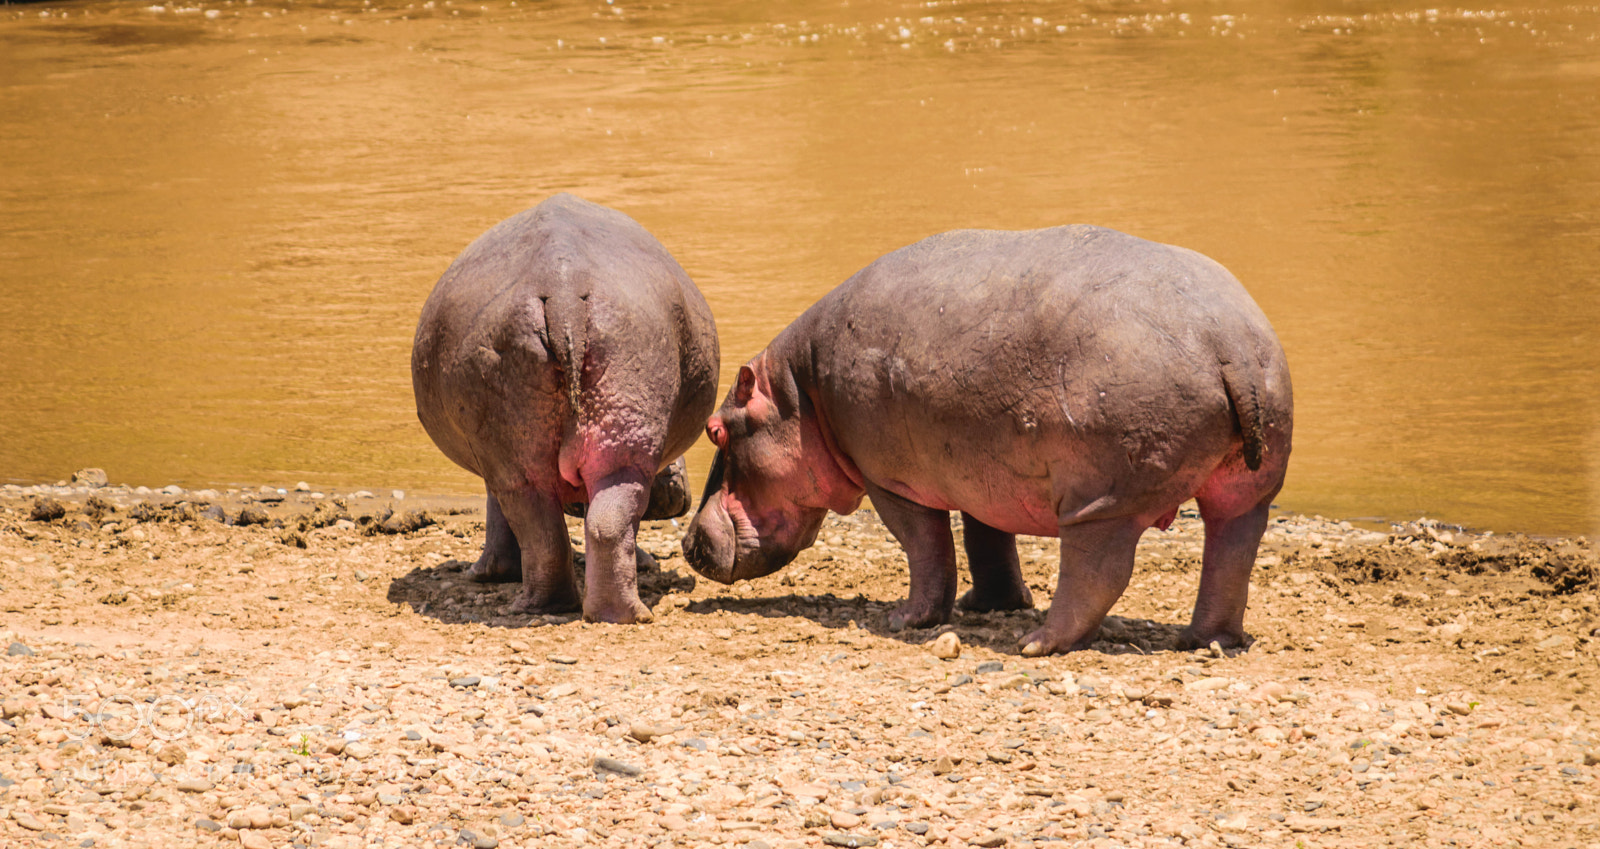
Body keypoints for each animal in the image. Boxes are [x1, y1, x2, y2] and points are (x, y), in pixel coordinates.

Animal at [412, 194, 719, 623]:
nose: (677, 487)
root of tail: (563, 291)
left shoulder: (494, 466)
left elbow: (496, 514)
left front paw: (485, 574)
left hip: (527, 457)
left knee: (545, 528)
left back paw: (549, 605)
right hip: (614, 446)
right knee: (600, 524)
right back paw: (611, 613)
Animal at [682, 226, 1291, 655]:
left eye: (716, 429)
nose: (687, 543)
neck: (800, 392)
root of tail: (1229, 344)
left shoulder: (889, 480)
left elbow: (927, 548)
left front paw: (906, 619)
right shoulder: (984, 471)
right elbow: (987, 539)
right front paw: (989, 604)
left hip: (1101, 502)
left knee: (1099, 571)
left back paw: (1038, 644)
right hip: (1248, 489)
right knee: (1231, 552)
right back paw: (1206, 640)